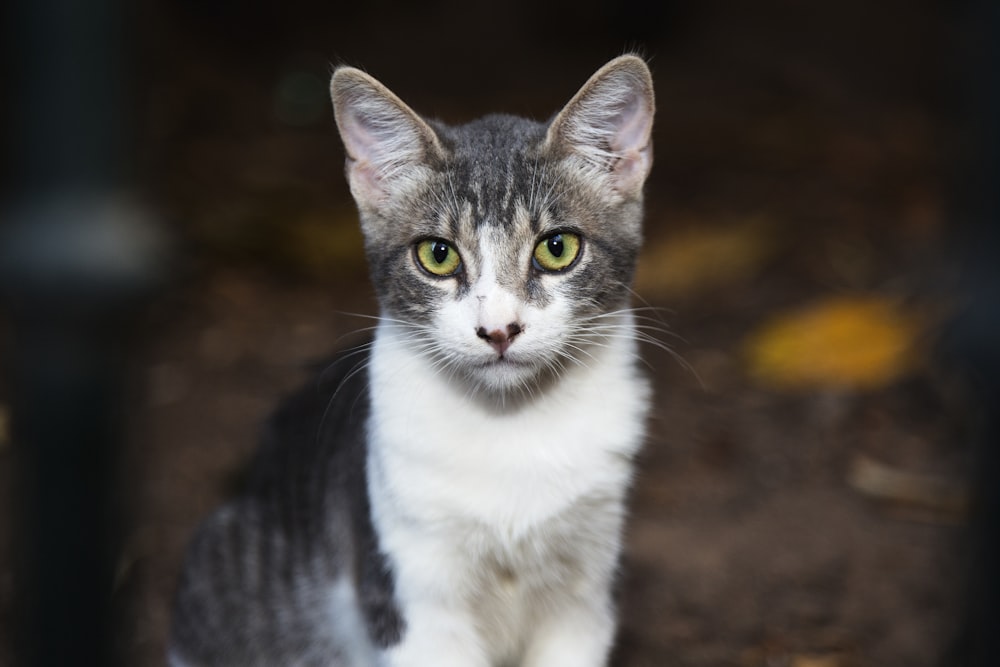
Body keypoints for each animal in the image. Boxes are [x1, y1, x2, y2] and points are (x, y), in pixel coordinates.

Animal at [167, 54, 656, 664]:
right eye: (438, 255)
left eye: (557, 248)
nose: (499, 329)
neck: (511, 426)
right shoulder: (412, 592)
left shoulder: (586, 590)